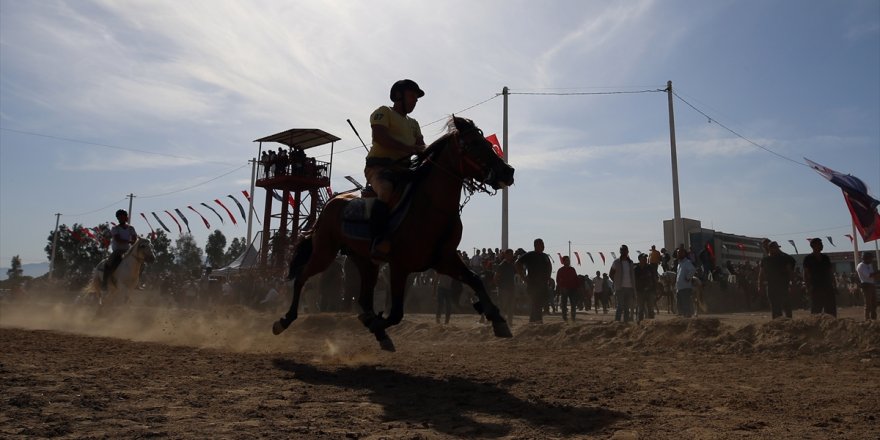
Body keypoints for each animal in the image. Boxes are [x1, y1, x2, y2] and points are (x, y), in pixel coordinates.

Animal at [272, 116, 512, 350]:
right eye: (473, 144)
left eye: (488, 143)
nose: (508, 171)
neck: (431, 206)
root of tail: (332, 202)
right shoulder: (400, 266)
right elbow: (396, 313)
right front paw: (377, 324)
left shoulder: (444, 259)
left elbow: (475, 280)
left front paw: (497, 319)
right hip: (325, 252)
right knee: (302, 276)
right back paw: (284, 320)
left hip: (365, 261)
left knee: (363, 299)